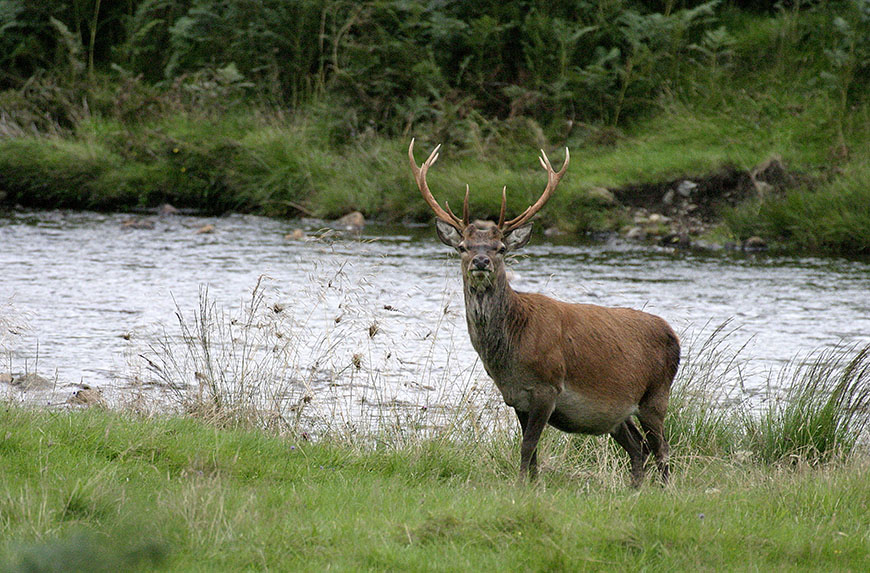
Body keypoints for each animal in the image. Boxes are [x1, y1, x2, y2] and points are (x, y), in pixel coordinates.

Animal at [408, 139, 681, 487]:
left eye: (501, 248)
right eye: (462, 247)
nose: (481, 262)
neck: (510, 353)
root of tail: (673, 334)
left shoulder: (547, 387)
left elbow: (527, 446)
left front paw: (521, 484)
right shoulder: (515, 397)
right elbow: (532, 450)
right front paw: (532, 485)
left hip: (656, 394)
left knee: (662, 450)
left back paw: (663, 490)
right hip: (616, 413)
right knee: (638, 447)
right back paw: (634, 490)